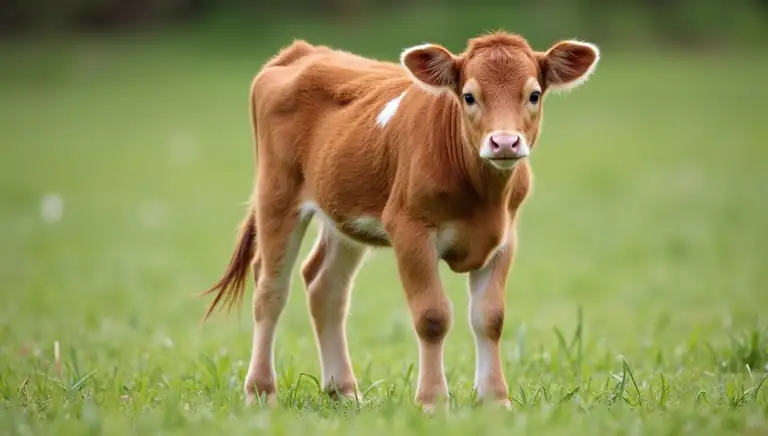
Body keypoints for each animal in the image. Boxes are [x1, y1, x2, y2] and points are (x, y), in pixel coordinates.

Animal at [201, 31, 600, 411]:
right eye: (469, 96)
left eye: (533, 95)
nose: (504, 143)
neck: (482, 196)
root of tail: (305, 50)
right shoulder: (409, 229)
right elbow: (432, 317)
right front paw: (432, 401)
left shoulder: (504, 237)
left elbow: (490, 317)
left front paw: (495, 400)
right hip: (277, 195)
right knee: (270, 290)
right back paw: (260, 391)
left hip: (343, 212)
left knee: (325, 286)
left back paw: (344, 391)